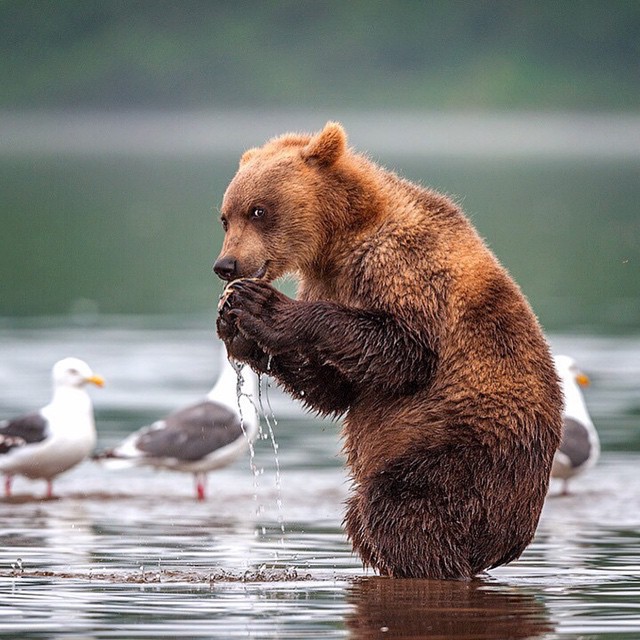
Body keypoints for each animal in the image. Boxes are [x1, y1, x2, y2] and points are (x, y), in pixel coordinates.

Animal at [213, 121, 563, 580]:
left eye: (258, 210)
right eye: (225, 216)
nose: (226, 266)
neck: (339, 238)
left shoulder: (402, 264)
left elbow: (403, 352)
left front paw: (261, 306)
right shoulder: (327, 279)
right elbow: (335, 387)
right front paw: (235, 326)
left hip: (468, 447)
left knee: (400, 508)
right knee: (362, 517)